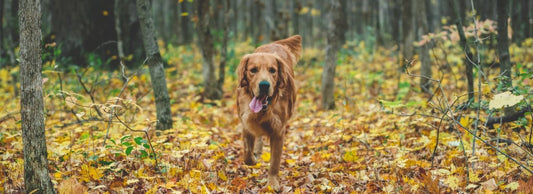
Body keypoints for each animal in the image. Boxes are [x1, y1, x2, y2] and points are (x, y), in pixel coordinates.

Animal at [236, 35, 302, 189]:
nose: (264, 85)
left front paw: (272, 184)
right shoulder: (246, 122)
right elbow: (247, 154)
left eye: (272, 70)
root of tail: (275, 43)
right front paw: (253, 159)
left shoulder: (278, 131)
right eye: (253, 70)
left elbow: (274, 163)